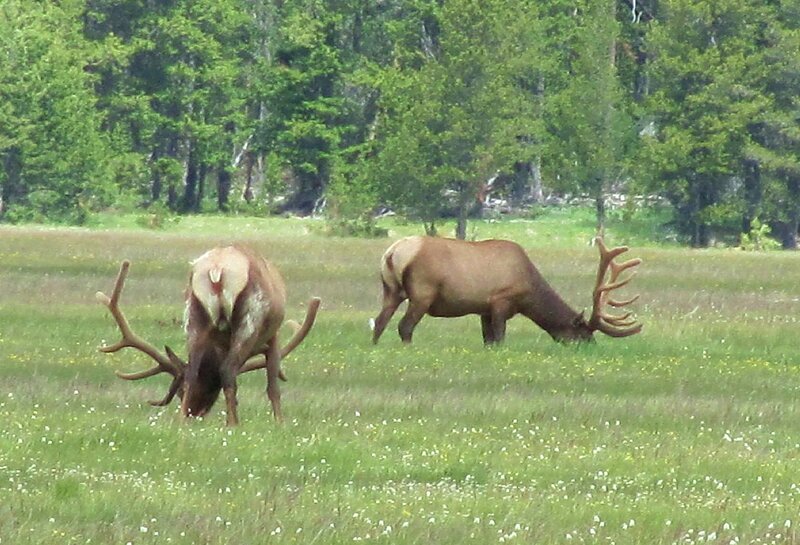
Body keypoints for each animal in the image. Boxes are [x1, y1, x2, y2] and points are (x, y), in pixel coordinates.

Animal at [96, 245, 321, 426]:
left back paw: (182, 422)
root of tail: (217, 269)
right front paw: (280, 423)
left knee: (192, 369)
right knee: (228, 369)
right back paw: (233, 424)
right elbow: (273, 386)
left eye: (179, 392)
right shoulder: (274, 336)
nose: (193, 413)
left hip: (193, 312)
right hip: (251, 316)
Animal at [371, 235, 641, 345]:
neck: (528, 293)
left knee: (379, 322)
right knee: (404, 326)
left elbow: (488, 340)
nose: (592, 347)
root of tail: (393, 253)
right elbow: (500, 338)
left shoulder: (483, 310)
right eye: (583, 334)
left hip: (390, 290)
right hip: (422, 292)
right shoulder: (501, 301)